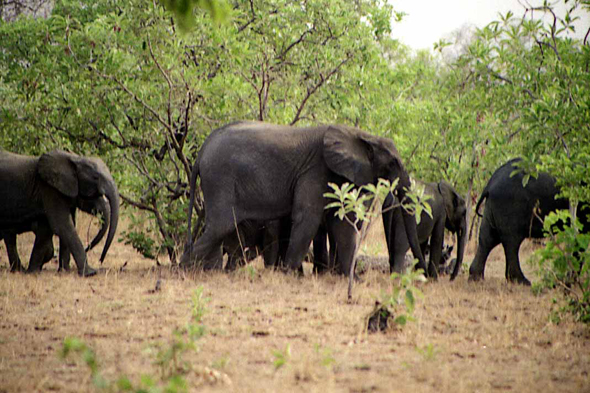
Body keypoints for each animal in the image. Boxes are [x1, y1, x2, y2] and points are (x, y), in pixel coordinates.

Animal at [183, 121, 428, 274]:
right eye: (393, 163)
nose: (424, 273)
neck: (361, 135)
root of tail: (202, 150)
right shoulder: (315, 170)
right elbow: (308, 218)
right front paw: (287, 274)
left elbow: (341, 226)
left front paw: (352, 279)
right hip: (220, 179)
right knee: (220, 226)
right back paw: (185, 272)